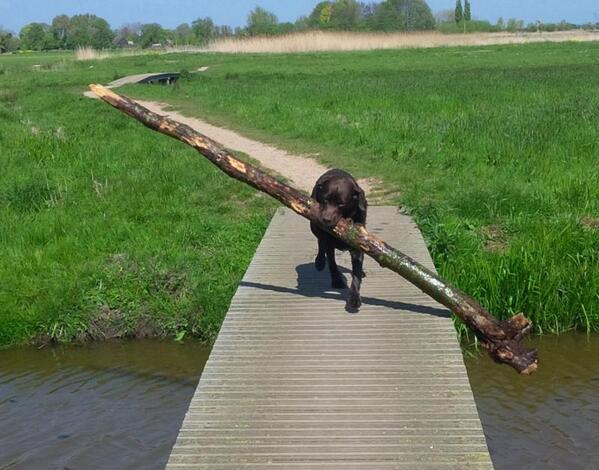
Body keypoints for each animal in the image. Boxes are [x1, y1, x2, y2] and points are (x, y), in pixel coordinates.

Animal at [312, 169, 368, 312]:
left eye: (341, 204)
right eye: (325, 200)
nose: (326, 219)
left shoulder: (358, 244)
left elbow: (356, 273)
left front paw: (354, 298)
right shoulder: (328, 243)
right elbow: (332, 263)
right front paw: (337, 281)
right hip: (314, 226)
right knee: (320, 242)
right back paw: (319, 262)